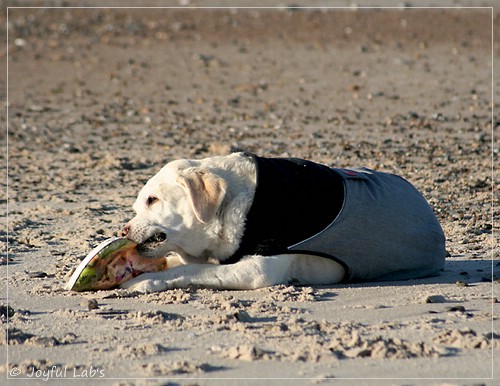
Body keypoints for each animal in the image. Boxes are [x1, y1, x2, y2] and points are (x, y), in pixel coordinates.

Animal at [121, 152, 446, 292]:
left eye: (152, 200)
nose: (123, 229)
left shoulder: (257, 270)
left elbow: (190, 269)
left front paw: (144, 281)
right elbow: (179, 263)